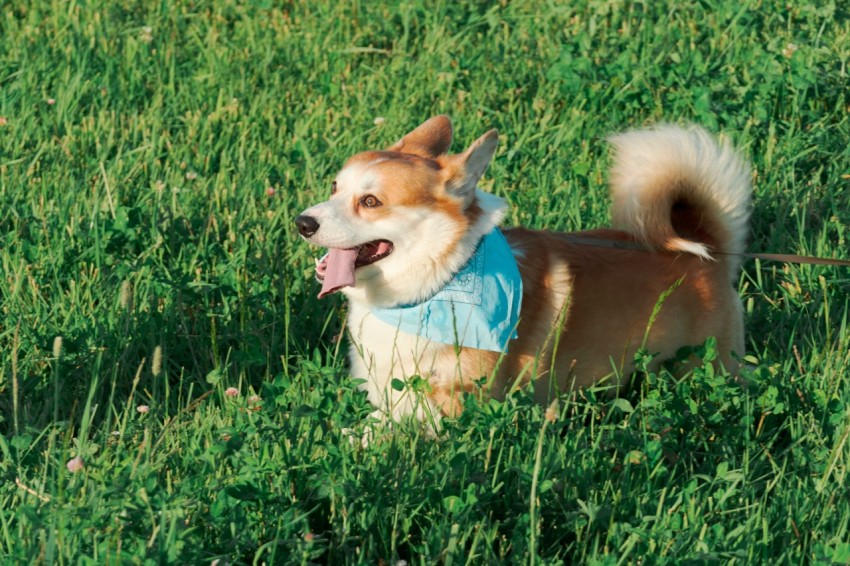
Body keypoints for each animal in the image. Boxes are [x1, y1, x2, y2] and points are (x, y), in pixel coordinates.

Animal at [294, 115, 748, 434]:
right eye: (334, 187)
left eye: (370, 201)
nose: (302, 223)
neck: (438, 283)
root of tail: (704, 244)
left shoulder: (459, 403)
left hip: (707, 363)